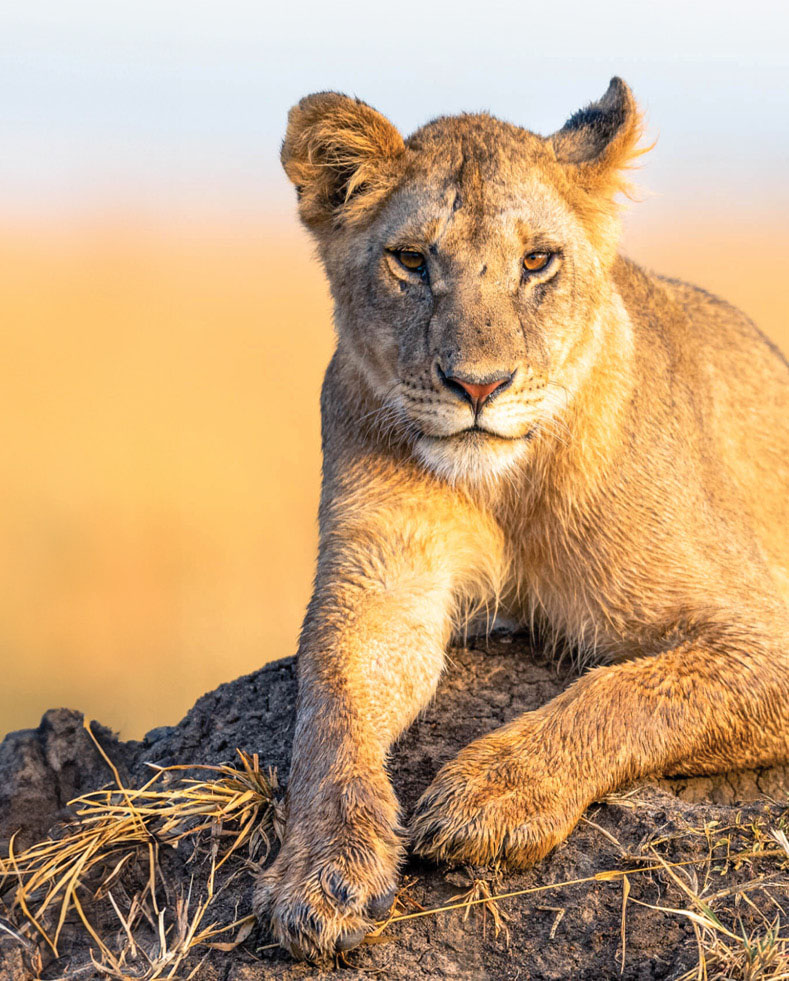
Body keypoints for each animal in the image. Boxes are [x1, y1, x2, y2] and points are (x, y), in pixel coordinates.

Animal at [254, 78, 789, 959]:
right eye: (412, 260)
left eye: (537, 261)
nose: (478, 385)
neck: (504, 486)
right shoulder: (379, 583)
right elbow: (330, 706)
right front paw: (323, 870)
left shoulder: (762, 623)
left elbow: (626, 691)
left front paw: (491, 795)